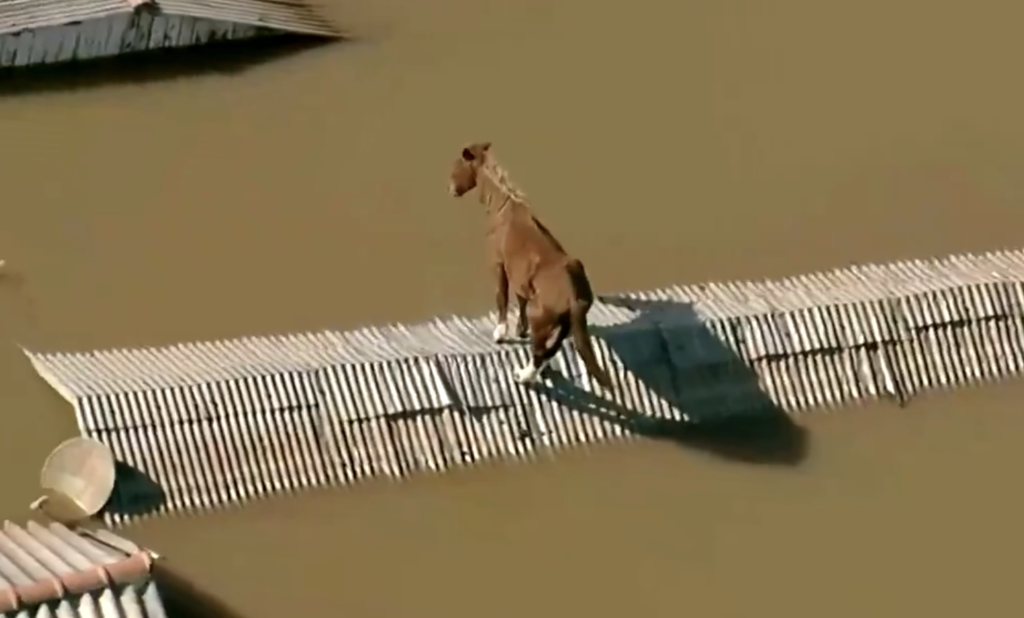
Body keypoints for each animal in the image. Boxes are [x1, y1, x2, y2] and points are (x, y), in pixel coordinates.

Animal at [446, 142, 606, 388]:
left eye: (456, 167)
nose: (451, 188)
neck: (502, 206)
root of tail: (576, 296)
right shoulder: (520, 278)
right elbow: (519, 299)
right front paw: (520, 330)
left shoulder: (498, 264)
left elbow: (501, 297)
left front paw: (500, 333)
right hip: (564, 324)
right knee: (549, 351)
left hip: (540, 318)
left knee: (540, 352)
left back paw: (522, 376)